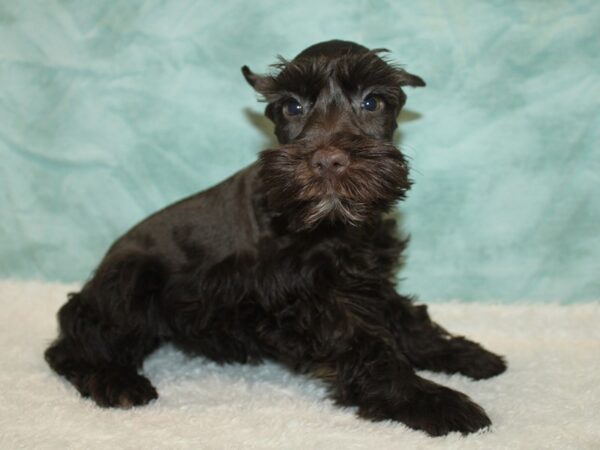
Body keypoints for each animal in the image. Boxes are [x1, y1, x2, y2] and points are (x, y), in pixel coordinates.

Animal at [45, 39, 506, 436]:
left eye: (372, 101)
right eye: (292, 106)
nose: (328, 160)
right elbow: (367, 346)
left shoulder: (367, 277)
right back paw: (116, 382)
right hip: (130, 285)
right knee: (70, 347)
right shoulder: (305, 300)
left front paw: (463, 355)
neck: (330, 226)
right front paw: (432, 401)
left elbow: (407, 319)